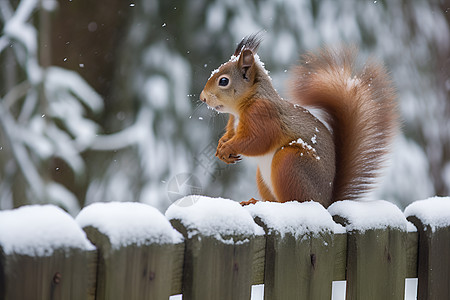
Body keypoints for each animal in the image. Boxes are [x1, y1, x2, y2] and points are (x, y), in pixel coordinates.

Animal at [200, 32, 398, 206]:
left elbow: (257, 140)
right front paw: (221, 146)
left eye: (223, 81)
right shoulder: (233, 123)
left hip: (290, 163)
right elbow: (231, 135)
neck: (240, 109)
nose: (202, 98)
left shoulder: (264, 116)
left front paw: (228, 147)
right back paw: (254, 201)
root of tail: (326, 202)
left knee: (292, 200)